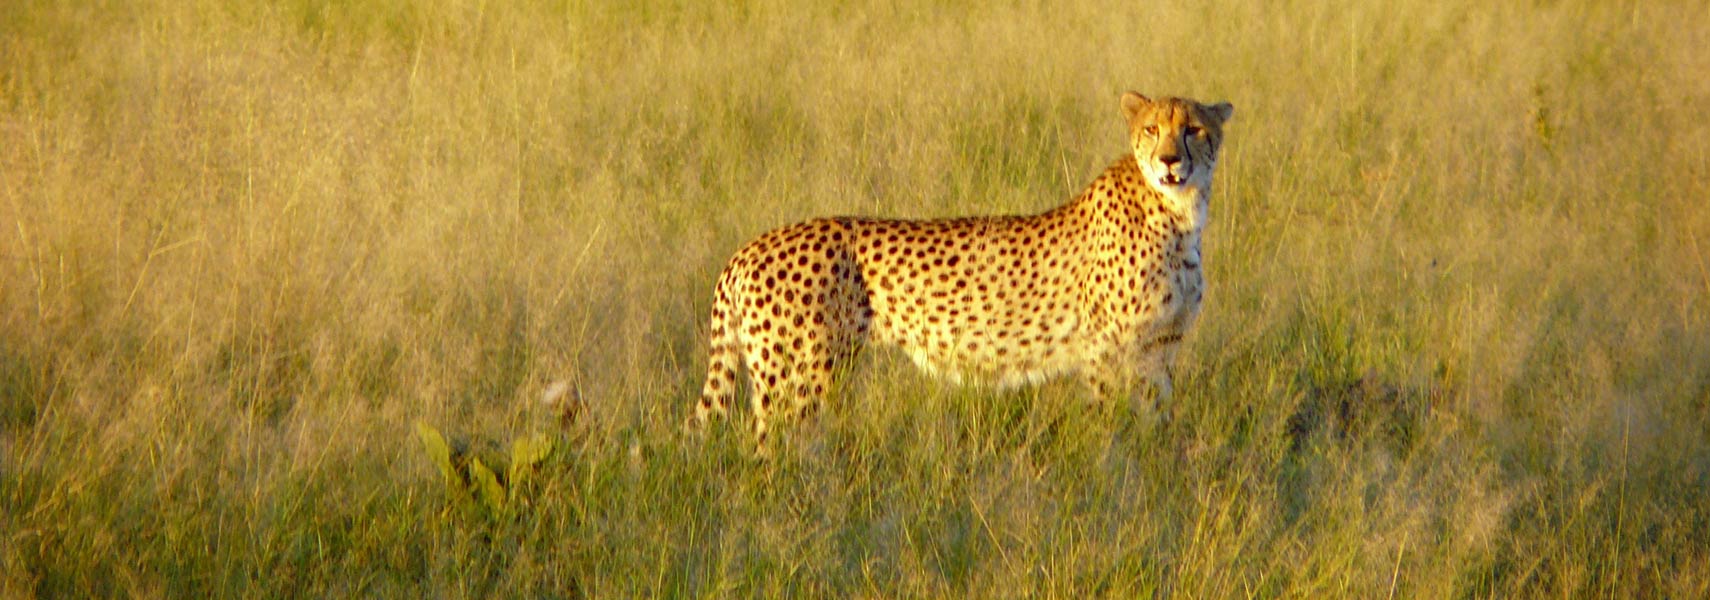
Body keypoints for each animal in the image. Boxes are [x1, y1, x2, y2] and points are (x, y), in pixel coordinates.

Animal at [687, 92, 1238, 441]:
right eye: (1151, 129)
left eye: (1194, 130)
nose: (1169, 161)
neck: (1179, 213)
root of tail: (748, 248)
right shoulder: (1105, 352)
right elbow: (1110, 425)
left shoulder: (1160, 349)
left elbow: (1156, 421)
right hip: (798, 375)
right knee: (769, 449)